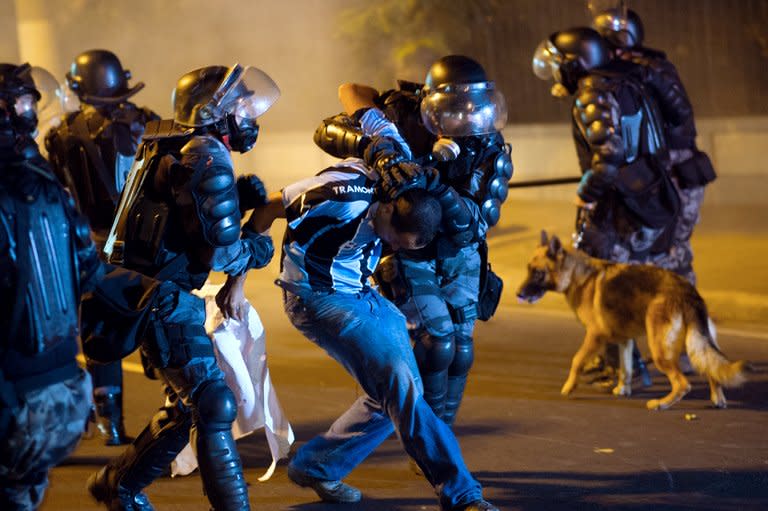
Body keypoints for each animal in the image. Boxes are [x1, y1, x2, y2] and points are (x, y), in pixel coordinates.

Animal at [516, 232, 744, 412]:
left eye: (538, 273)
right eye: (528, 269)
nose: (518, 294)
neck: (577, 276)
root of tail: (687, 292)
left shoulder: (594, 336)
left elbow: (577, 360)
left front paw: (569, 386)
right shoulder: (625, 340)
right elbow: (625, 369)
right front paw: (623, 389)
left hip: (660, 350)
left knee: (683, 384)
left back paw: (662, 404)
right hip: (691, 344)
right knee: (711, 368)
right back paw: (717, 399)